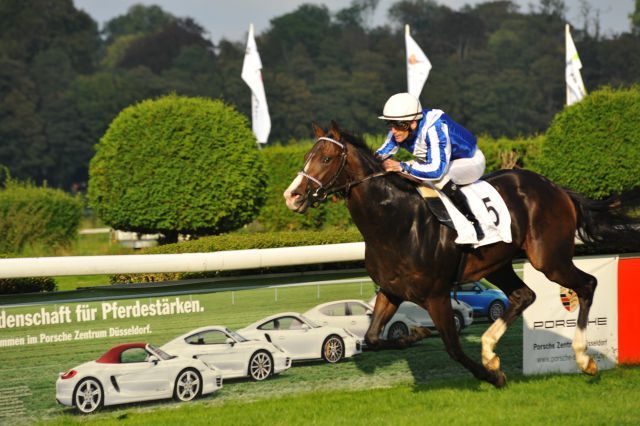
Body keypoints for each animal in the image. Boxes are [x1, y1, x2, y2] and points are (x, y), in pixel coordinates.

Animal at [284, 121, 640, 388]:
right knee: (524, 295)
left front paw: (493, 376)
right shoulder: (391, 291)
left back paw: (584, 359)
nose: (292, 195)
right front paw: (415, 334)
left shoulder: (437, 295)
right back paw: (490, 350)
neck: (395, 223)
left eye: (326, 159)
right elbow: (372, 338)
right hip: (498, 263)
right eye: (307, 155)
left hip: (549, 258)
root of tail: (555, 188)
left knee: (587, 284)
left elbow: (453, 347)